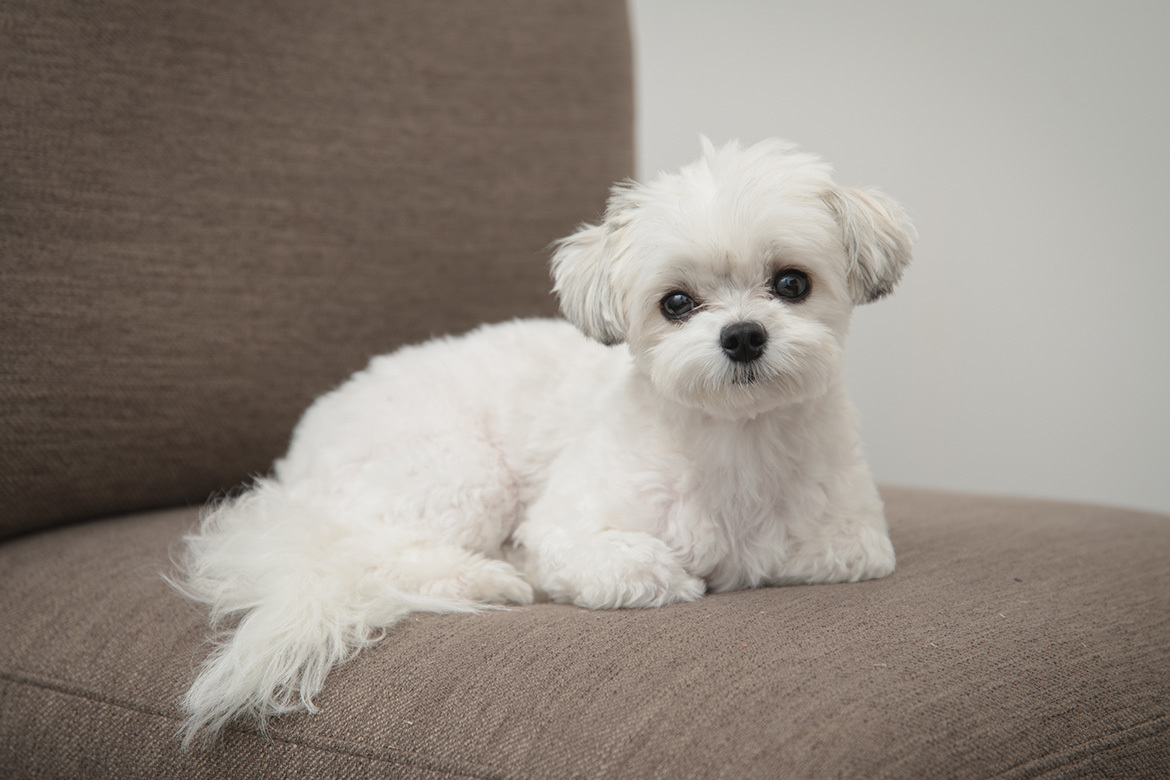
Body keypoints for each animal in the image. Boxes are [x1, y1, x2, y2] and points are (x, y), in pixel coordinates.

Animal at [173, 138, 912, 743]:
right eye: (676, 303)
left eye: (792, 283)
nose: (742, 336)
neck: (737, 440)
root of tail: (298, 460)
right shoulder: (567, 530)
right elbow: (637, 568)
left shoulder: (855, 540)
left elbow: (819, 553)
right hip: (462, 474)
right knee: (379, 554)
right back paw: (491, 578)